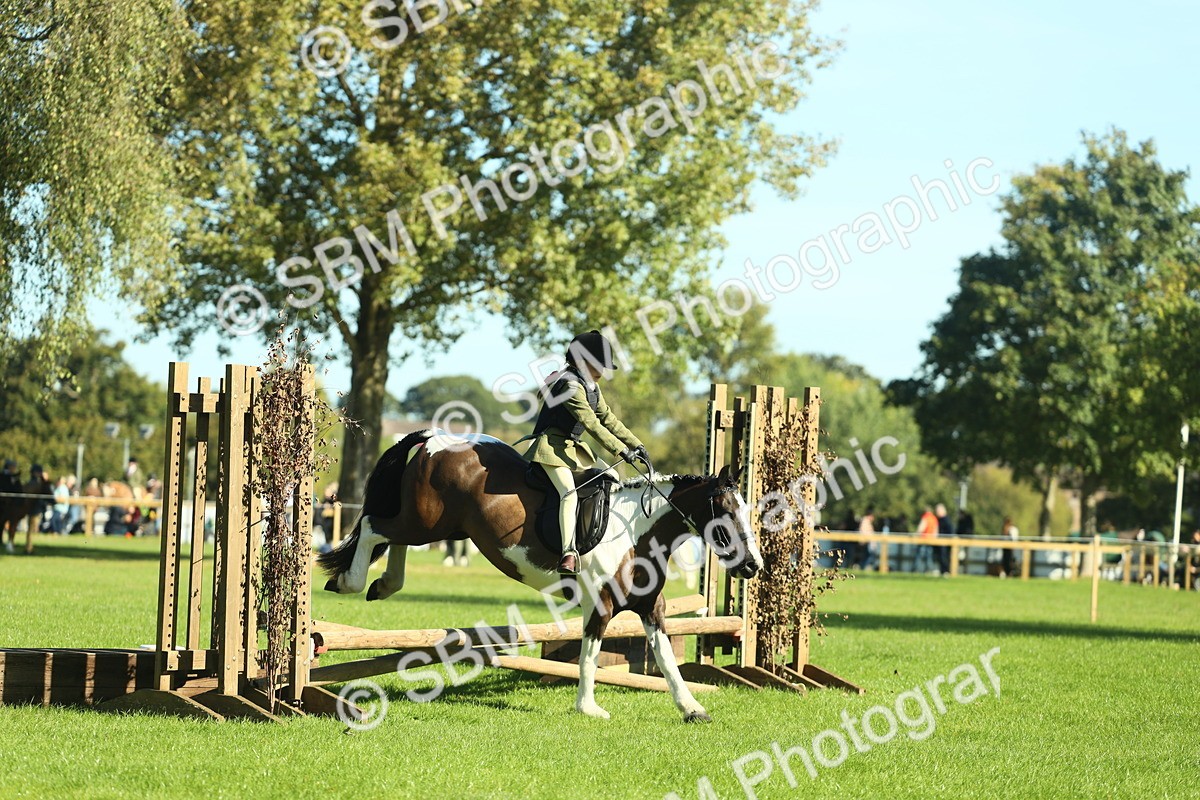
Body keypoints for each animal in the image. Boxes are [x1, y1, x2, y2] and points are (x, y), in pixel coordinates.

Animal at [318, 429, 764, 722]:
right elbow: (589, 655)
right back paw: (349, 582)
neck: (637, 532)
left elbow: (667, 659)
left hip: (439, 525)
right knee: (374, 526)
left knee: (394, 539)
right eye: (726, 513)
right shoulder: (599, 606)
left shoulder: (651, 608)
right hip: (427, 521)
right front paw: (588, 708)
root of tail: (435, 438)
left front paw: (692, 708)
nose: (754, 566)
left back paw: (384, 585)